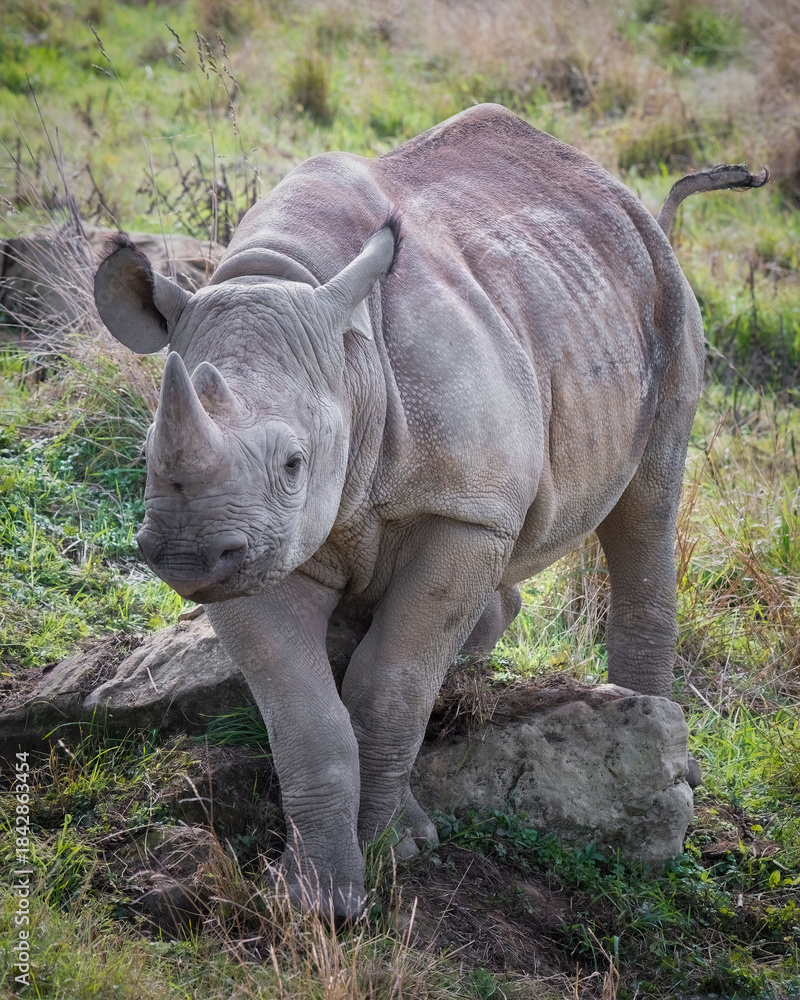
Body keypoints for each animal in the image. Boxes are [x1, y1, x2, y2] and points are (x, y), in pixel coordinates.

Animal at [93, 104, 768, 921]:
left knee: (647, 504)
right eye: (146, 455)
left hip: (665, 298)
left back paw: (656, 748)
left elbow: (391, 687)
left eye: (293, 464)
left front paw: (388, 852)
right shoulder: (254, 549)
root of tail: (623, 196)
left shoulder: (464, 515)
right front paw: (320, 898)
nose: (185, 555)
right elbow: (309, 713)